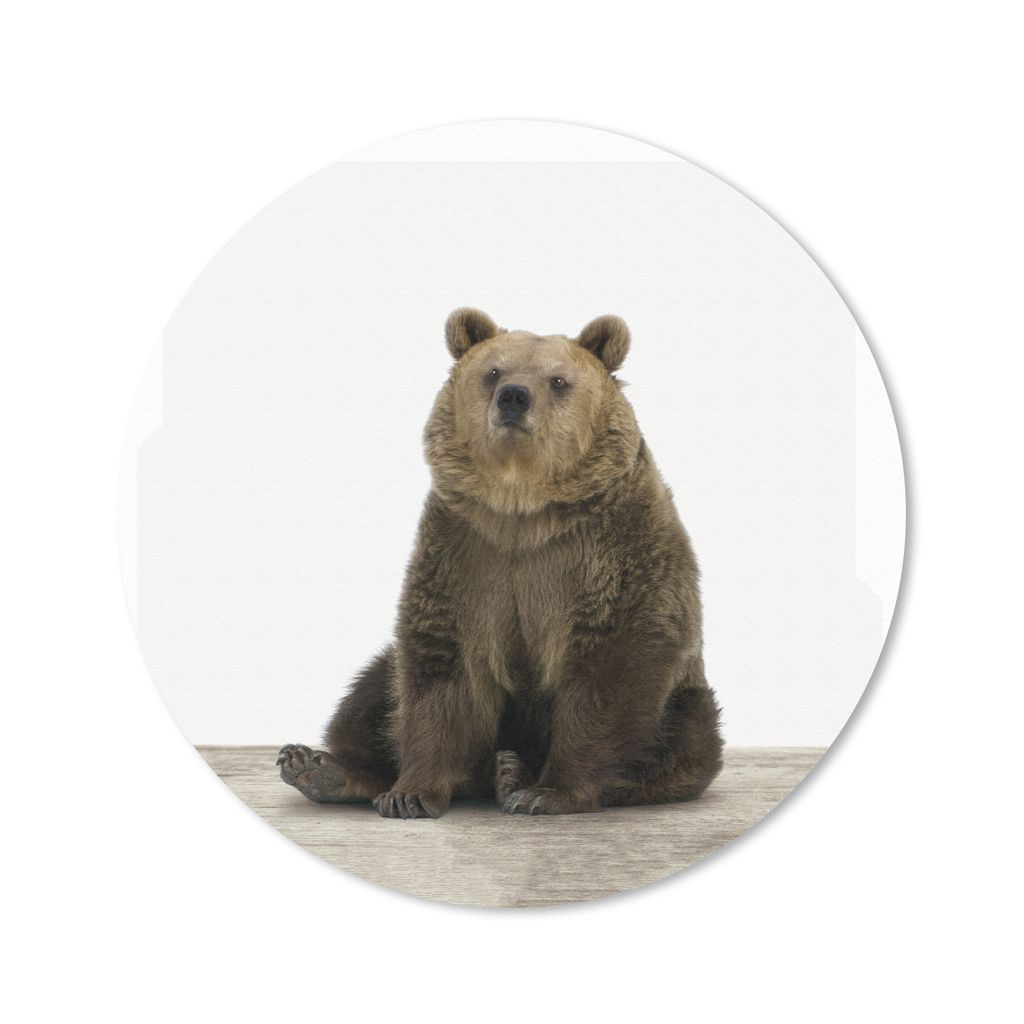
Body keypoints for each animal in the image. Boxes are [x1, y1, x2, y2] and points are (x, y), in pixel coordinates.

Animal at [277, 308, 724, 817]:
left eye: (558, 380)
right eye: (493, 372)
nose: (514, 396)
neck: (522, 509)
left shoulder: (613, 550)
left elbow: (611, 666)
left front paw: (548, 793)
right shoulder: (465, 553)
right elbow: (439, 669)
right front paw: (409, 793)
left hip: (686, 701)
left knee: (683, 740)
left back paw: (515, 774)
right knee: (371, 693)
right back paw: (319, 767)